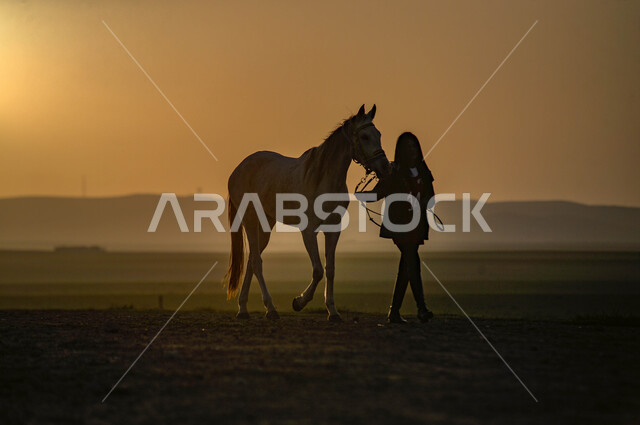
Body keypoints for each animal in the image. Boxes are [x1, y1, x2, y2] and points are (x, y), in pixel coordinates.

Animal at [223, 104, 390, 321]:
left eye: (378, 134)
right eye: (364, 136)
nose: (385, 166)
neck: (322, 179)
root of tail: (237, 171)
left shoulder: (333, 229)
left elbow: (330, 269)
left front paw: (333, 311)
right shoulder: (309, 231)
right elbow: (318, 270)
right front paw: (299, 302)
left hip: (266, 226)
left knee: (252, 260)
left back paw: (243, 308)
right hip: (250, 221)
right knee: (257, 262)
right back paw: (270, 309)